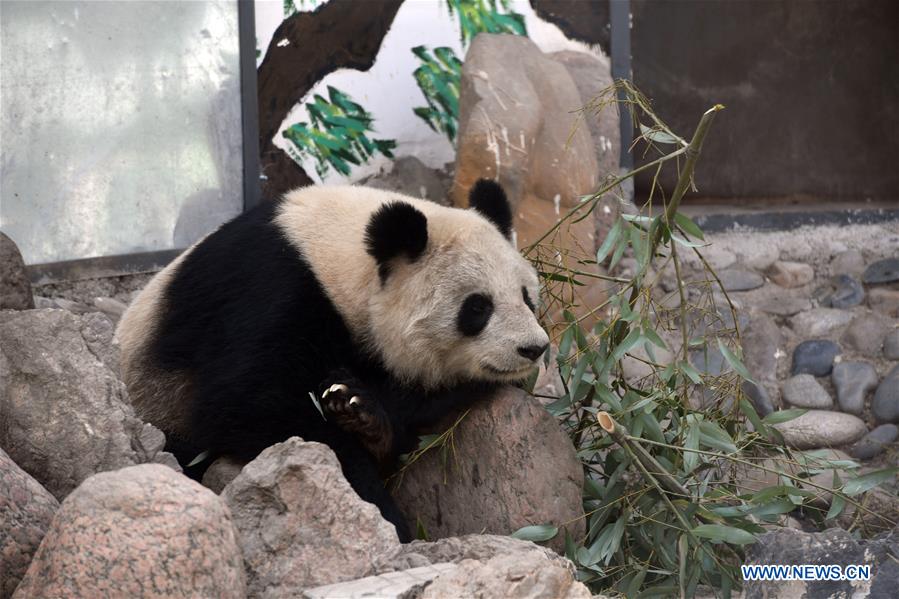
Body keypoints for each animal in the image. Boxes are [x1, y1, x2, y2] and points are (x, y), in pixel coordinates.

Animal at [115, 179, 549, 541]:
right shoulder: (268, 290)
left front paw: (361, 410)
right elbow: (247, 403)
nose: (534, 348)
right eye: (477, 307)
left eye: (526, 296)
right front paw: (381, 513)